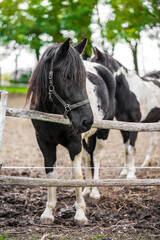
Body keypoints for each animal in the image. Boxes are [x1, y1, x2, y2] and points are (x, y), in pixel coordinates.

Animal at [26, 38, 115, 224]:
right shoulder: (44, 143)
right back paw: (87, 190)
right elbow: (51, 174)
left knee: (97, 157)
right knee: (88, 156)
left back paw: (94, 192)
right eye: (67, 77)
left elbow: (76, 176)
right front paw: (48, 212)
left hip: (103, 131)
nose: (87, 121)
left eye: (84, 80)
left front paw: (80, 213)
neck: (52, 111)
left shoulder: (74, 143)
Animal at [90, 47, 160, 182]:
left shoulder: (135, 124)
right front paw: (124, 172)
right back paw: (145, 164)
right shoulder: (123, 126)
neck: (128, 93)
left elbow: (131, 149)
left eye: (96, 65)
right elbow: (126, 149)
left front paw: (131, 174)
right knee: (154, 142)